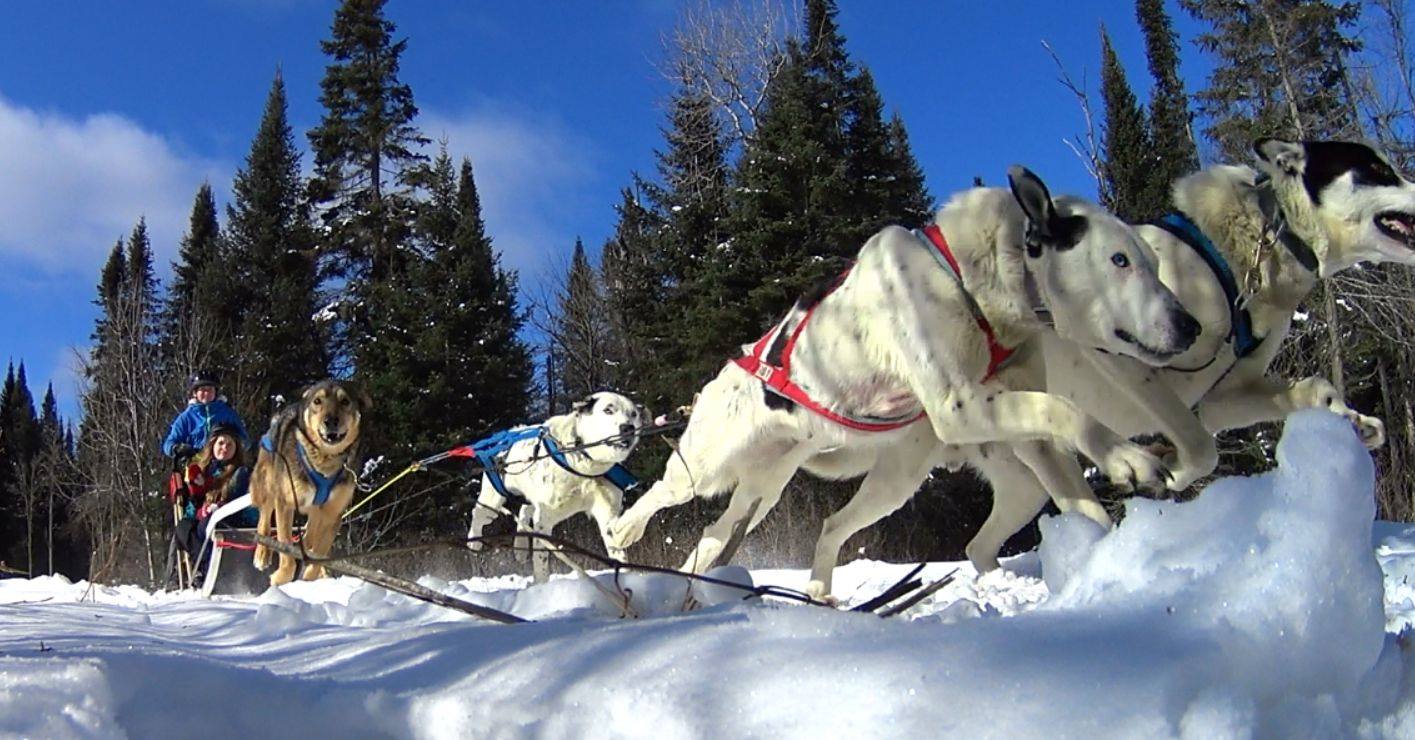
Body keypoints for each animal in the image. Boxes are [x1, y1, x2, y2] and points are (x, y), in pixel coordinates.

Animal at [251, 379, 367, 588]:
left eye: (345, 401)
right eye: (317, 401)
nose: (330, 421)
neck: (325, 460)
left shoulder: (333, 513)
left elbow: (320, 553)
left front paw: (310, 575)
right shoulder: (286, 503)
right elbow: (285, 545)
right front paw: (282, 576)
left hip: (315, 510)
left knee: (310, 533)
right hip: (267, 483)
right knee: (264, 517)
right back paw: (262, 554)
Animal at [469, 390, 650, 582]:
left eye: (633, 414)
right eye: (608, 410)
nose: (628, 428)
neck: (584, 465)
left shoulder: (607, 514)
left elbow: (617, 551)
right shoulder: (544, 520)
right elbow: (541, 560)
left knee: (524, 510)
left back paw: (520, 547)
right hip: (492, 501)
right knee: (479, 514)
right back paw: (474, 541)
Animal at [605, 164, 1194, 594]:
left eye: (1150, 259)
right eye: (1119, 261)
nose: (1189, 324)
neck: (964, 275)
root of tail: (735, 364)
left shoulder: (1025, 426)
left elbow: (1070, 457)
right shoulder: (960, 406)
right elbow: (1068, 410)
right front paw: (1129, 457)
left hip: (791, 489)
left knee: (737, 533)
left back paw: (802, 591)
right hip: (708, 467)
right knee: (663, 492)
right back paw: (625, 530)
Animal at [956, 138, 1415, 574]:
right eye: (1377, 170)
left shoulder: (1227, 396)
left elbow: (1313, 389)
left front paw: (1354, 420)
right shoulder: (1122, 352)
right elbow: (1200, 446)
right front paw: (1173, 469)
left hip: (1026, 484)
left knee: (979, 545)